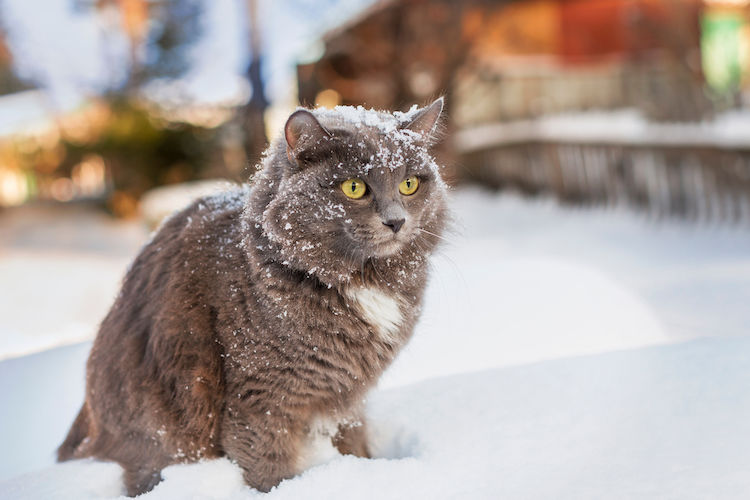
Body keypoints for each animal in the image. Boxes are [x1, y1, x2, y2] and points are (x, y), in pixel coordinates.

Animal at [58, 96, 450, 492]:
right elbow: (267, 463)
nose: (396, 220)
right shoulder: (262, 396)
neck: (358, 279)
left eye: (409, 184)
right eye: (354, 187)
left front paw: (363, 468)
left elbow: (353, 439)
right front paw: (281, 490)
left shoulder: (348, 394)